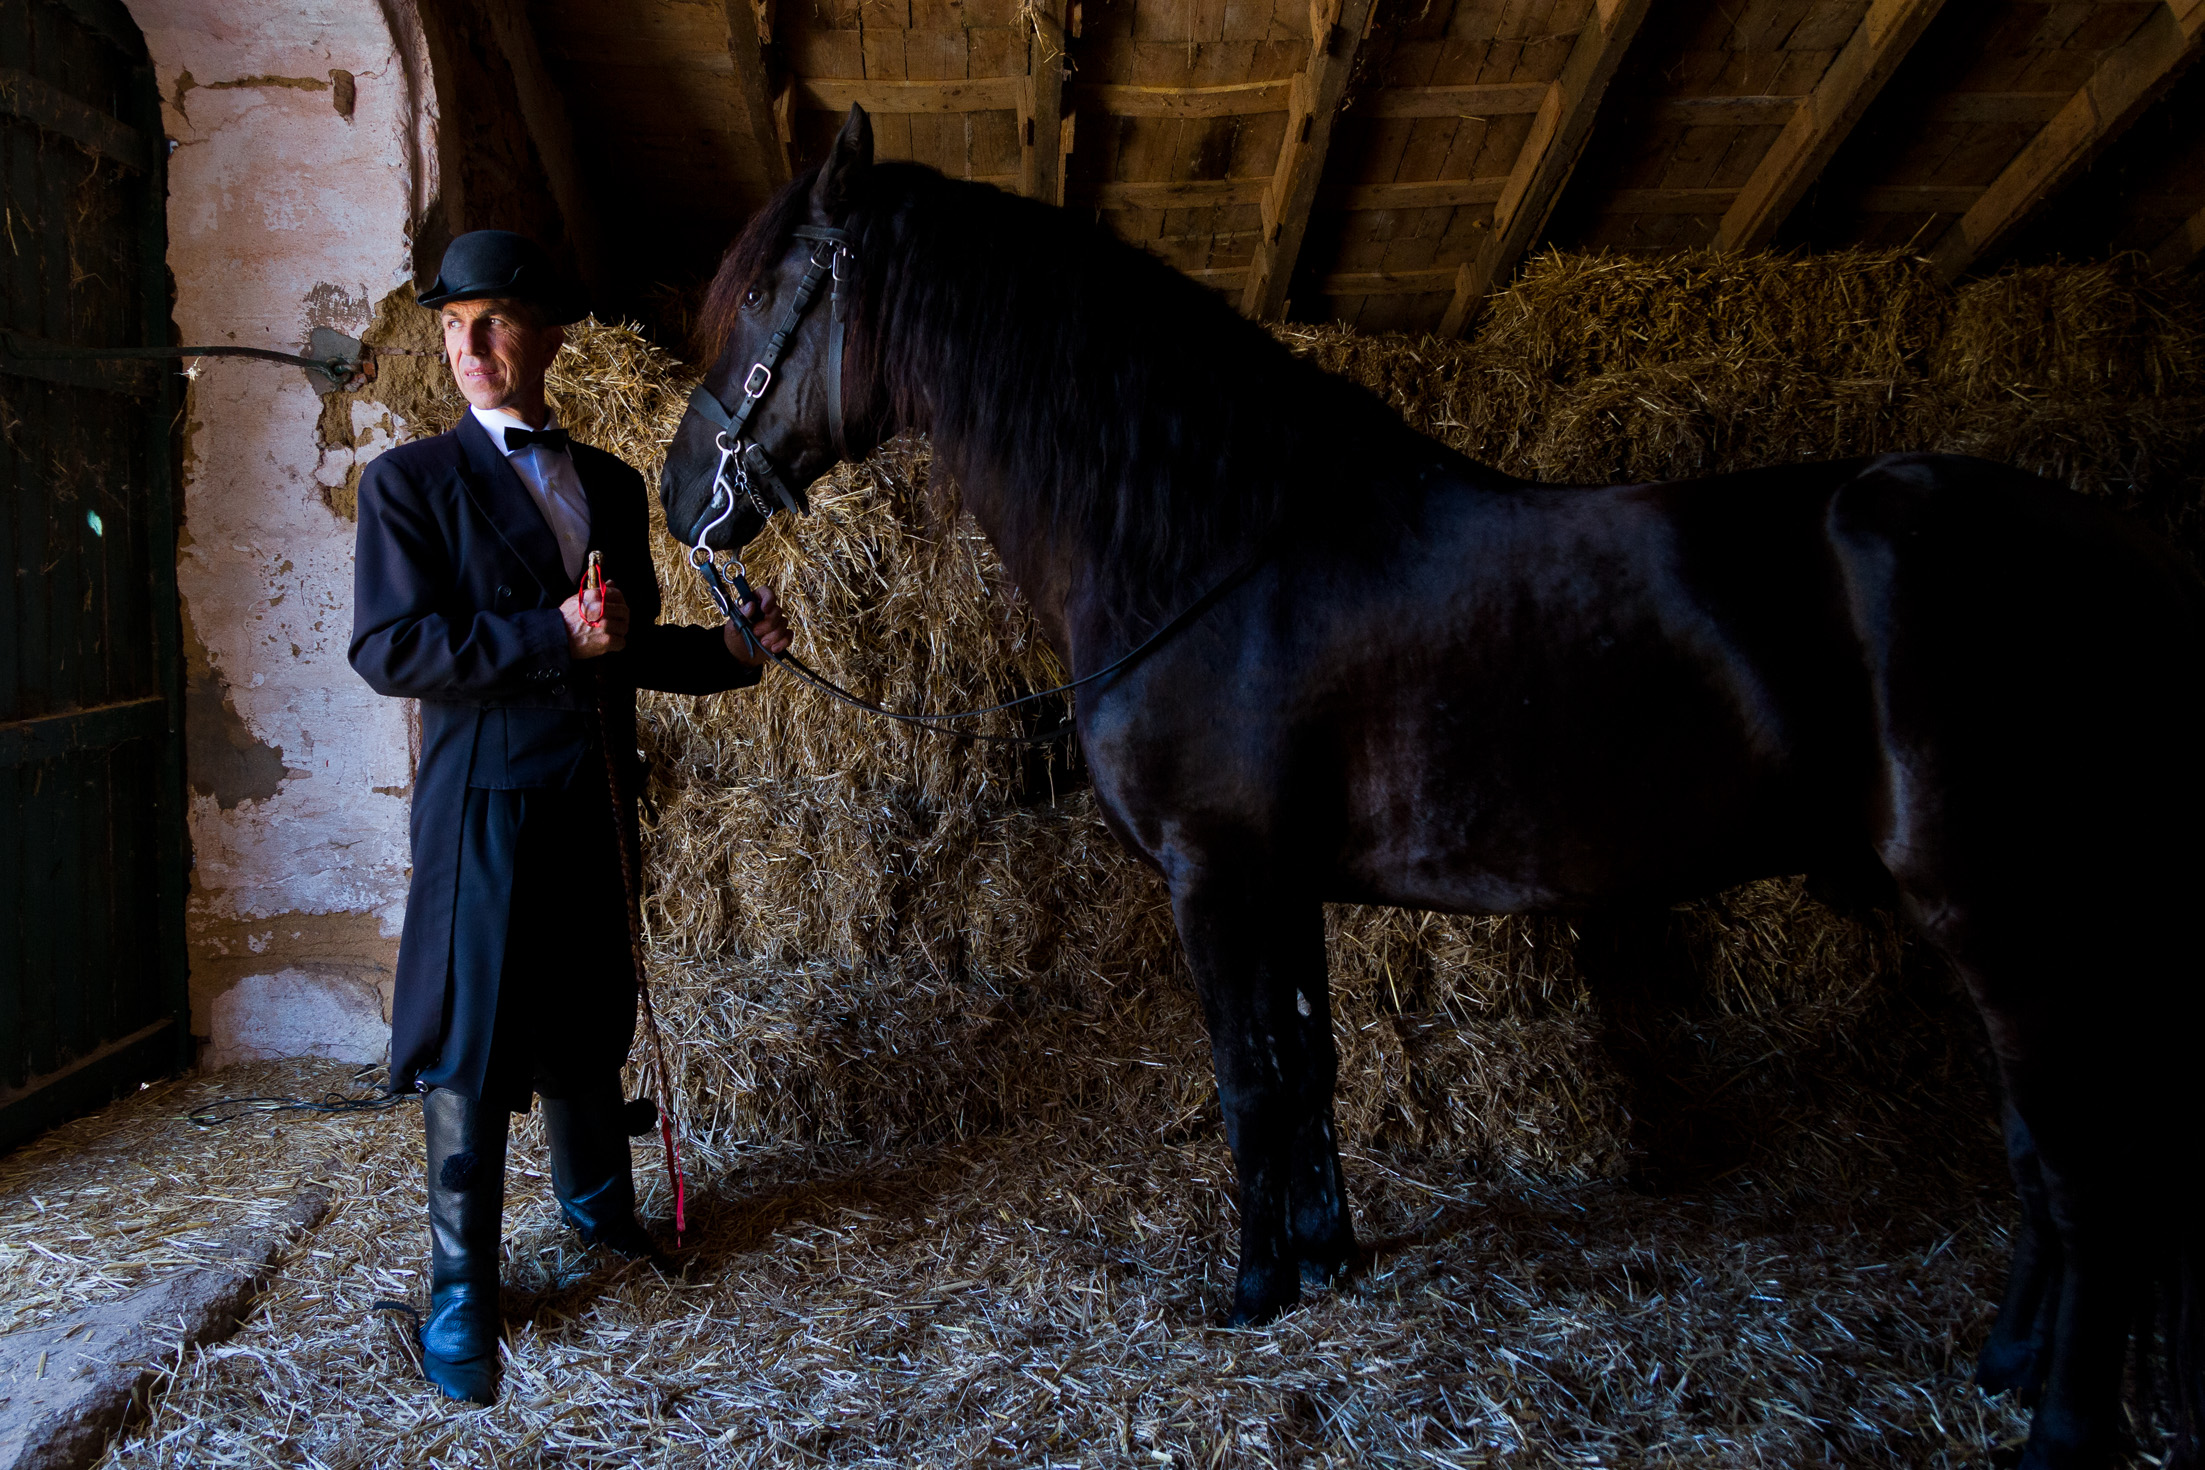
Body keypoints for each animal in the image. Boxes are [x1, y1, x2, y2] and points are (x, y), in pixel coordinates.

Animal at [657, 109, 2205, 1463]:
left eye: (770, 297)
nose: (683, 497)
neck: (1208, 548)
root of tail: (2117, 546)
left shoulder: (1216, 877)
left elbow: (1249, 1080)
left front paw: (1256, 1291)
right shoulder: (1281, 884)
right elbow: (1311, 1068)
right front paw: (1328, 1257)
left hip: (2010, 917)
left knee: (2087, 1168)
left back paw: (2063, 1425)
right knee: (2044, 1152)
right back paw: (2009, 1362)